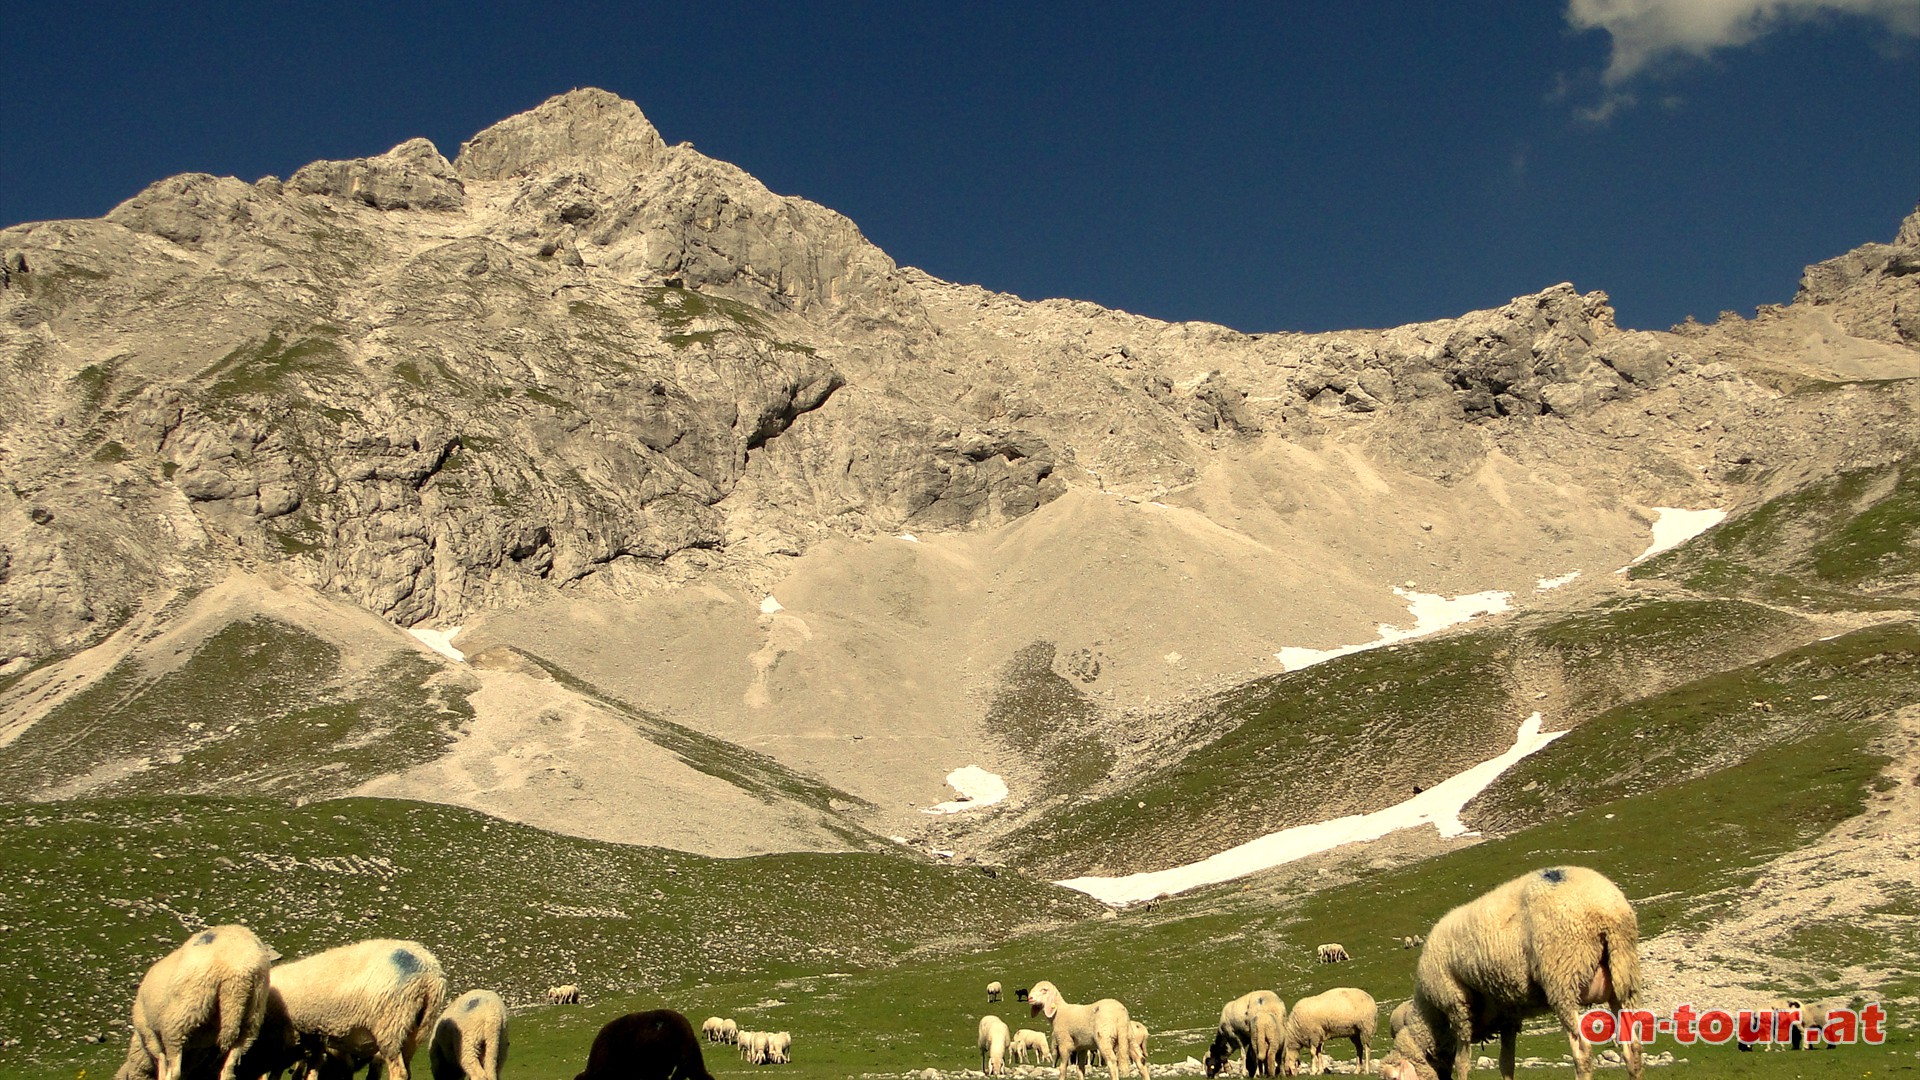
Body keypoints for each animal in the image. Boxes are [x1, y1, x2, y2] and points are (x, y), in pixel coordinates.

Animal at [112, 922, 276, 1080]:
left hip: (181, 1017)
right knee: (228, 1071)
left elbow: (162, 1060)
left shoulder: (149, 1034)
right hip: (251, 1020)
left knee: (174, 1070)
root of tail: (238, 973)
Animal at [1382, 860, 1651, 1080]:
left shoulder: (1457, 1007)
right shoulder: (1508, 1015)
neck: (1432, 1019)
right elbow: (1506, 1064)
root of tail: (1604, 907)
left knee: (1583, 1051)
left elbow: (1462, 1063)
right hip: (1623, 973)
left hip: (1562, 977)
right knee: (1633, 1047)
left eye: (1392, 1079)